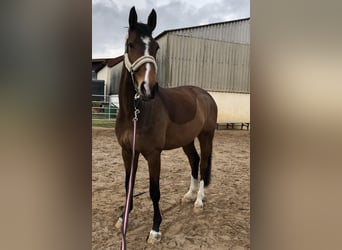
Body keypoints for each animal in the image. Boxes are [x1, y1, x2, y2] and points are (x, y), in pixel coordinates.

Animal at [114, 6, 216, 244]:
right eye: (130, 44)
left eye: (156, 47)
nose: (148, 88)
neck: (134, 113)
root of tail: (205, 95)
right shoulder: (128, 152)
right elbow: (128, 184)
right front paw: (123, 218)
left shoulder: (153, 154)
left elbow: (154, 191)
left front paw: (155, 229)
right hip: (187, 140)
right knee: (195, 160)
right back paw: (189, 195)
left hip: (206, 136)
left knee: (204, 164)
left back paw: (198, 201)